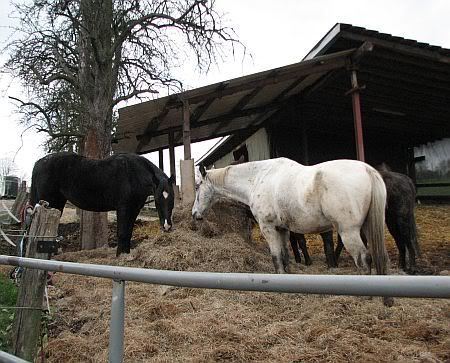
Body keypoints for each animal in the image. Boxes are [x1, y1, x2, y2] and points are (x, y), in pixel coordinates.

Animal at [30, 152, 175, 258]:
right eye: (157, 199)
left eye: (172, 198)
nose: (167, 226)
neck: (134, 173)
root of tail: (39, 162)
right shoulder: (123, 208)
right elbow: (122, 232)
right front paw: (119, 256)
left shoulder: (134, 209)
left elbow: (128, 232)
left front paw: (126, 255)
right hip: (50, 202)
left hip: (57, 203)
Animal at [192, 159, 388, 278]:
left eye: (197, 186)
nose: (195, 214)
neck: (258, 178)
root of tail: (367, 170)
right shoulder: (282, 229)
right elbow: (285, 255)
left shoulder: (268, 228)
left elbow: (276, 256)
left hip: (349, 232)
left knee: (363, 260)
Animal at [290, 166, 420, 274]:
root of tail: (406, 179)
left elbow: (316, 242)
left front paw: (324, 263)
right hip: (391, 221)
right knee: (400, 241)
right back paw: (402, 266)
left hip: (401, 219)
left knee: (409, 240)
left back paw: (412, 268)